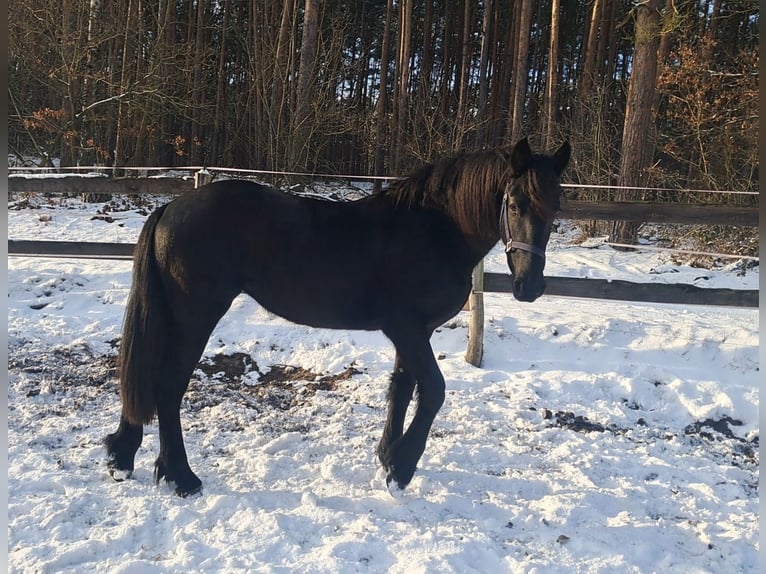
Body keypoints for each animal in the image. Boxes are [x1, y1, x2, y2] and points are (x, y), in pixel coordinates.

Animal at [104, 137, 571, 497]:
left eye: (555, 209)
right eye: (514, 203)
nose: (529, 286)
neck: (434, 230)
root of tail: (171, 207)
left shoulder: (413, 332)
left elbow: (402, 389)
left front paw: (387, 458)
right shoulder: (406, 328)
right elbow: (434, 391)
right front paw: (402, 468)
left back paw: (123, 456)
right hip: (195, 316)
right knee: (167, 387)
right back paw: (180, 477)